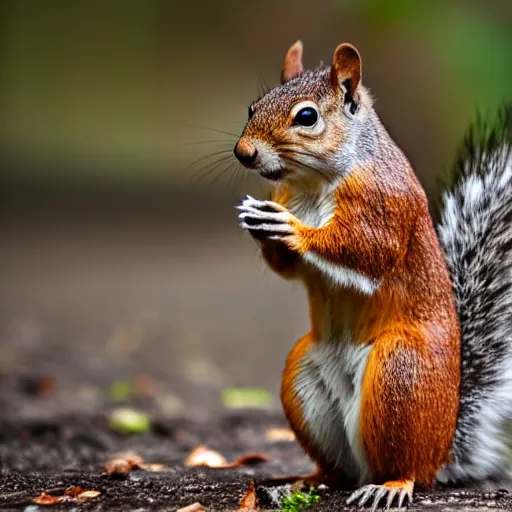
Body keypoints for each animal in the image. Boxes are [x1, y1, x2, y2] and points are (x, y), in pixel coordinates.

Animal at [233, 40, 512, 508]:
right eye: (253, 107)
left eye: (306, 117)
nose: (244, 153)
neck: (313, 184)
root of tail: (441, 451)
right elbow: (287, 267)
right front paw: (260, 221)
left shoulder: (385, 204)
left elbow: (368, 250)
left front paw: (293, 229)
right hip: (304, 378)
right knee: (339, 469)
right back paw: (302, 481)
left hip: (400, 374)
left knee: (404, 467)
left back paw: (391, 486)